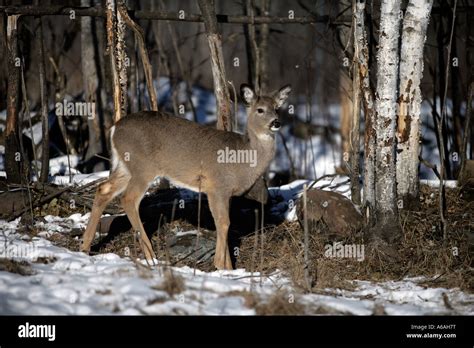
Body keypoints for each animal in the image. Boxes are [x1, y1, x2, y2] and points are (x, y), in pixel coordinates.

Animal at [79, 83, 290, 270]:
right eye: (260, 110)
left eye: (277, 108)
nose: (276, 123)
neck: (244, 157)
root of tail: (114, 129)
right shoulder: (217, 186)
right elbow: (223, 223)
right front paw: (221, 266)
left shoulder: (227, 193)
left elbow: (225, 224)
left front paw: (229, 267)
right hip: (143, 167)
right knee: (128, 198)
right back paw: (151, 256)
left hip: (125, 167)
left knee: (103, 189)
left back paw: (85, 247)